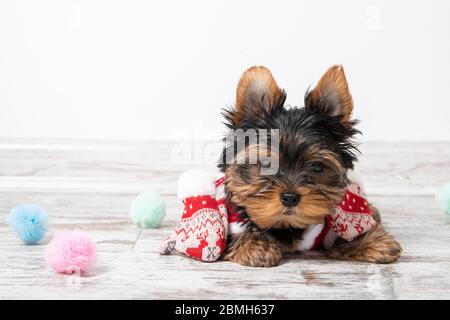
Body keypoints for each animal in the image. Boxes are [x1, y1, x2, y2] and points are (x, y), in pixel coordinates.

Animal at [220, 65, 402, 268]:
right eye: (266, 164)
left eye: (316, 166)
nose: (290, 197)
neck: (287, 225)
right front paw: (256, 246)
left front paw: (370, 242)